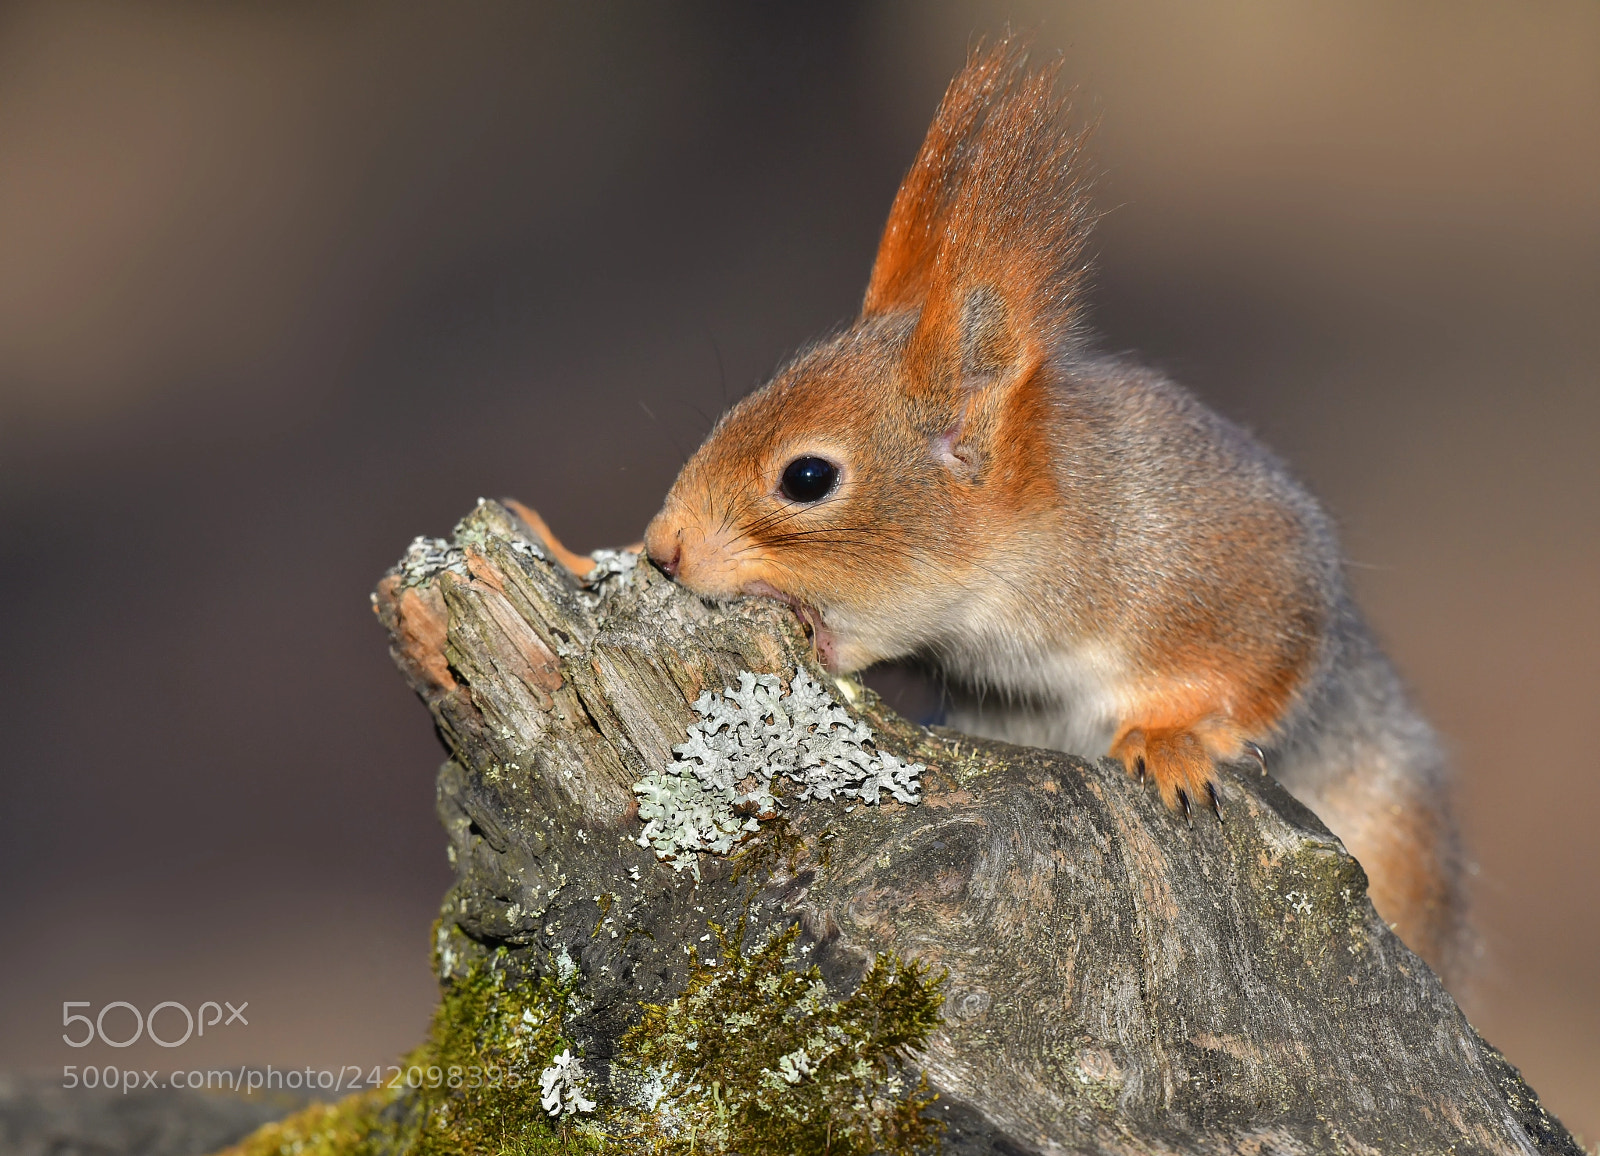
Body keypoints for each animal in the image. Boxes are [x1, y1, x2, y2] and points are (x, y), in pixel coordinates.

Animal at [571, 39, 1466, 981]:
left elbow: (1271, 674)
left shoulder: (1231, 568)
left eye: (807, 478)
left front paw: (1172, 743)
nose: (664, 548)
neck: (1047, 542)